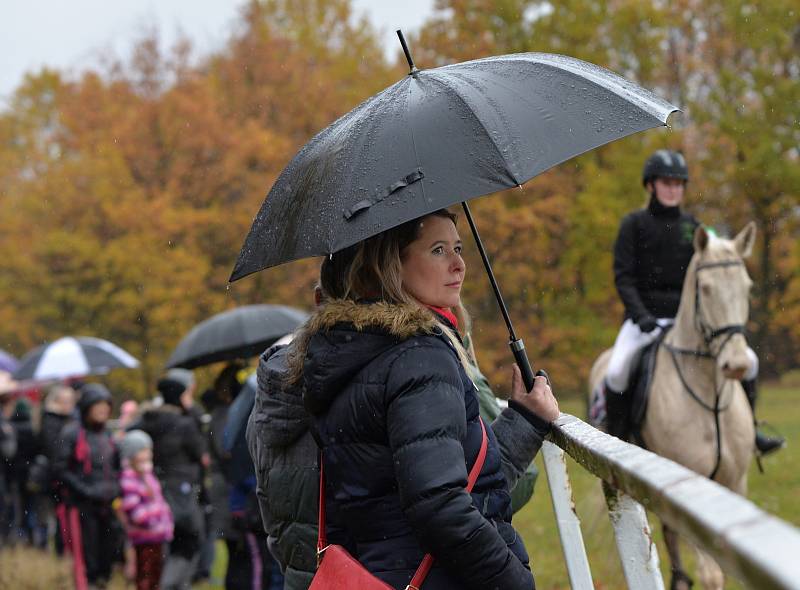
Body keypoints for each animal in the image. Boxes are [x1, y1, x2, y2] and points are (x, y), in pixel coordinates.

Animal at [592, 223, 760, 590]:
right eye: (705, 289)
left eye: (746, 287)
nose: (737, 365)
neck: (710, 399)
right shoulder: (687, 489)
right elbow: (712, 574)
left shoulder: (736, 485)